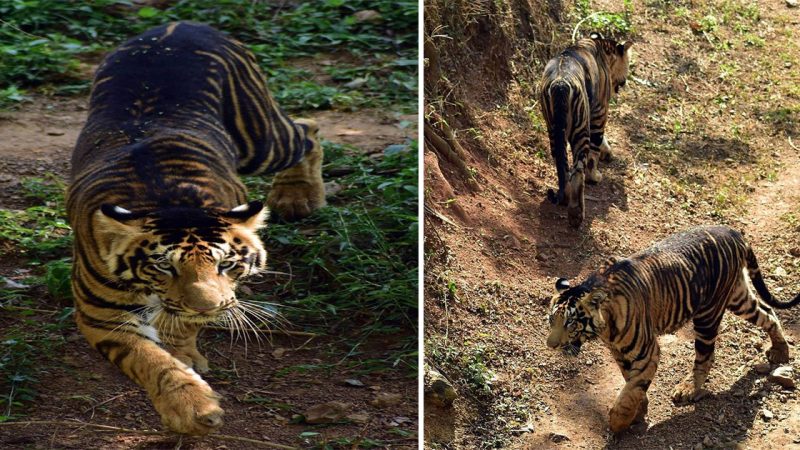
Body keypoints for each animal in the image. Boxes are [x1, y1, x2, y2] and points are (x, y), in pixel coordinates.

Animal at [65, 22, 326, 434]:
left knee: (307, 128)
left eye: (226, 264)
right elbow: (150, 359)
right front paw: (191, 407)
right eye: (163, 266)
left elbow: (179, 326)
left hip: (262, 141)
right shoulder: (101, 315)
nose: (210, 308)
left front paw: (184, 351)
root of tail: (180, 25)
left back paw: (298, 195)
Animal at [540, 33, 636, 227]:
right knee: (578, 169)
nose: (624, 82)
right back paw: (576, 214)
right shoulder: (600, 111)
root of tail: (560, 84)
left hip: (553, 128)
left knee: (562, 164)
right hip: (580, 130)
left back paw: (565, 198)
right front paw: (596, 176)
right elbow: (595, 150)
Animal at [548, 225, 796, 432]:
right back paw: (781, 351)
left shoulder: (646, 352)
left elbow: (632, 388)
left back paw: (688, 389)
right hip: (738, 297)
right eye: (552, 320)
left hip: (708, 315)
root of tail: (733, 231)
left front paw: (618, 423)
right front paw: (639, 412)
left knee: (705, 356)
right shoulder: (619, 352)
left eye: (570, 322)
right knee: (767, 312)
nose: (551, 344)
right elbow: (631, 382)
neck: (606, 329)